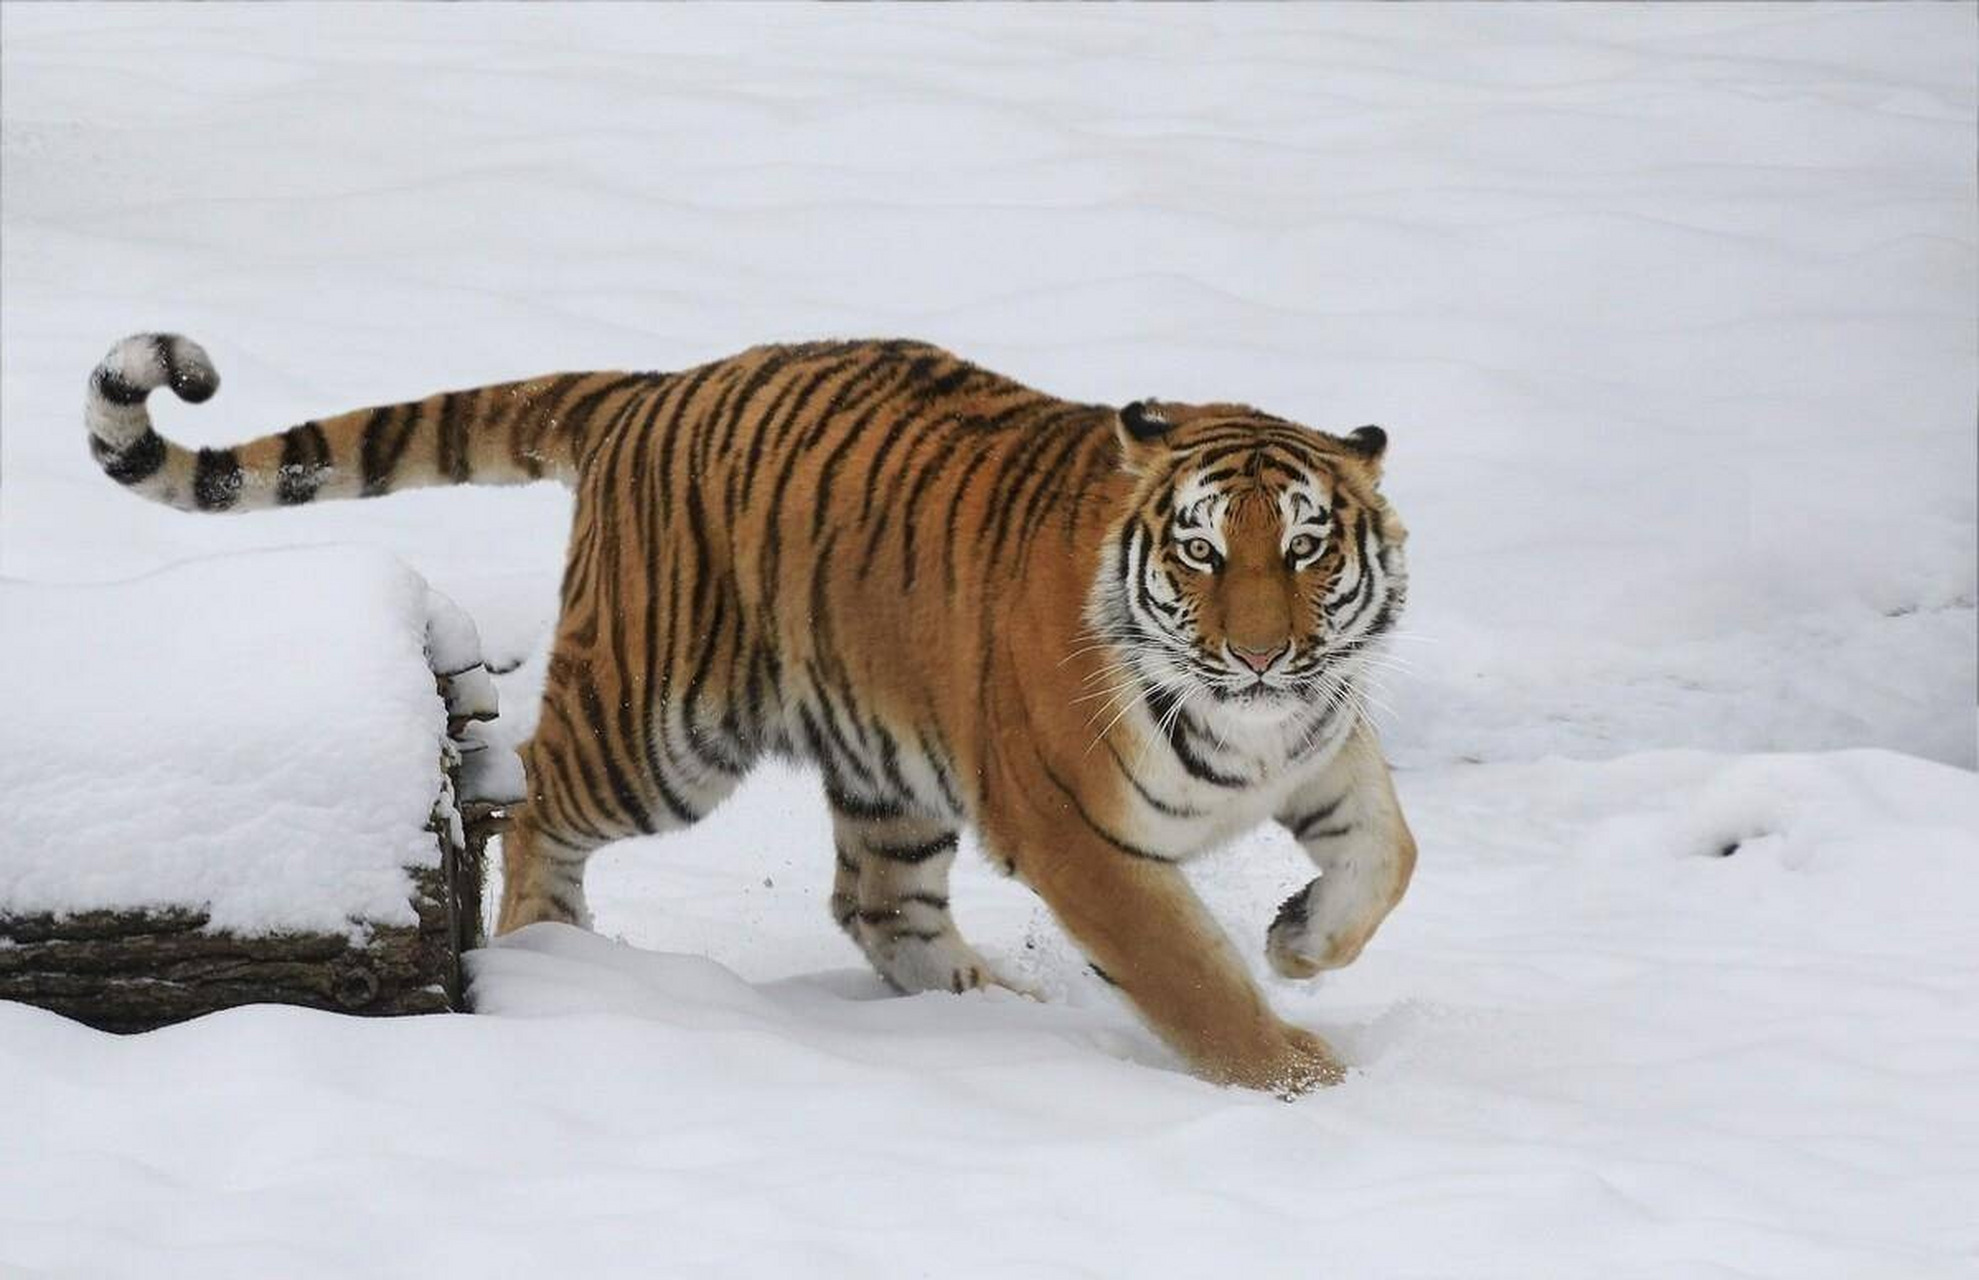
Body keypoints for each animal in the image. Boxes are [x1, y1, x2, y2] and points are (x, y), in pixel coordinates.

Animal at [83, 331, 1416, 1093]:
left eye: (1304, 548)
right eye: (1199, 550)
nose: (1258, 652)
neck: (1248, 723)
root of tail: (654, 387)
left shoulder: (1321, 743)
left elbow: (1387, 854)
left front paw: (1301, 942)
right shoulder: (1077, 833)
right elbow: (1185, 970)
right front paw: (1293, 1074)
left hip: (887, 766)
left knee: (876, 902)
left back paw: (987, 1009)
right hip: (661, 726)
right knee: (532, 797)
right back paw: (550, 949)